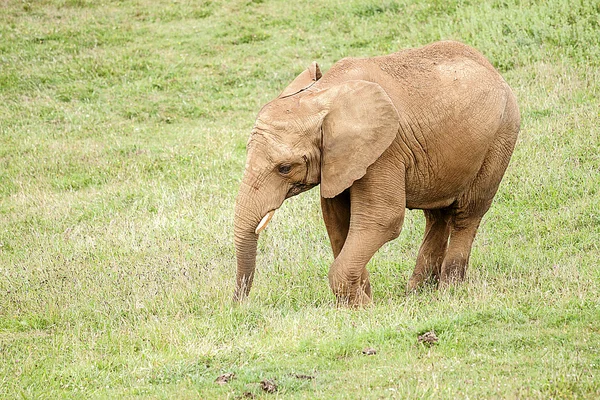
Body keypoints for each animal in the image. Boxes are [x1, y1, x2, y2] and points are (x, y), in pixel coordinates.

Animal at [234, 41, 520, 306]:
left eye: (284, 168)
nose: (237, 305)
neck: (322, 95)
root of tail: (493, 69)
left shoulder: (385, 150)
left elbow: (381, 219)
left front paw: (361, 308)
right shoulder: (338, 160)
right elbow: (337, 220)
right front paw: (359, 300)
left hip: (501, 135)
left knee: (467, 212)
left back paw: (449, 291)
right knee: (437, 215)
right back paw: (418, 291)